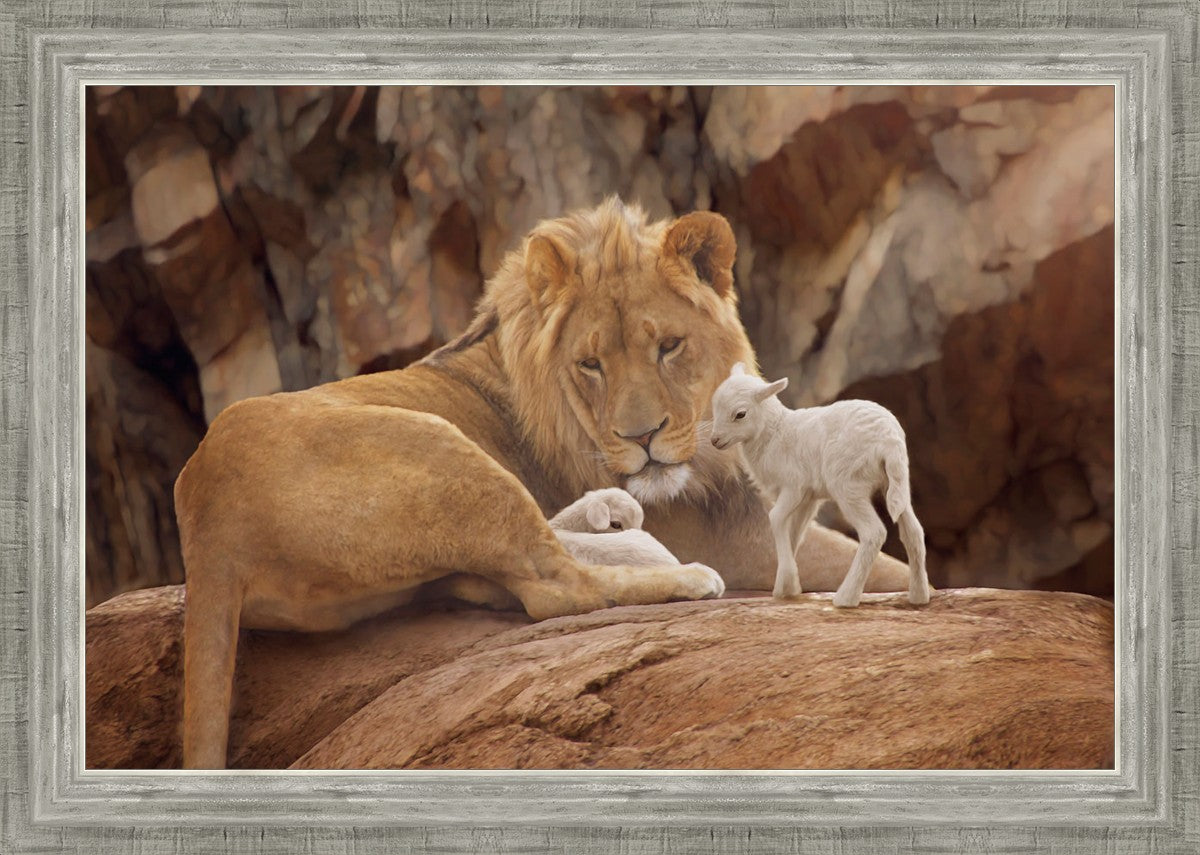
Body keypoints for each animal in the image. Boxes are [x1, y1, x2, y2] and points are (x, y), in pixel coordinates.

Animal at [709, 363, 931, 608]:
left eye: (740, 414)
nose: (715, 440)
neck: (774, 433)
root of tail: (889, 440)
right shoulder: (808, 498)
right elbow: (795, 532)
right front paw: (786, 587)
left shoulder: (794, 486)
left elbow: (776, 518)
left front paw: (788, 583)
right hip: (896, 482)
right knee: (913, 532)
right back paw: (919, 596)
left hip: (848, 484)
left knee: (874, 533)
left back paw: (846, 597)